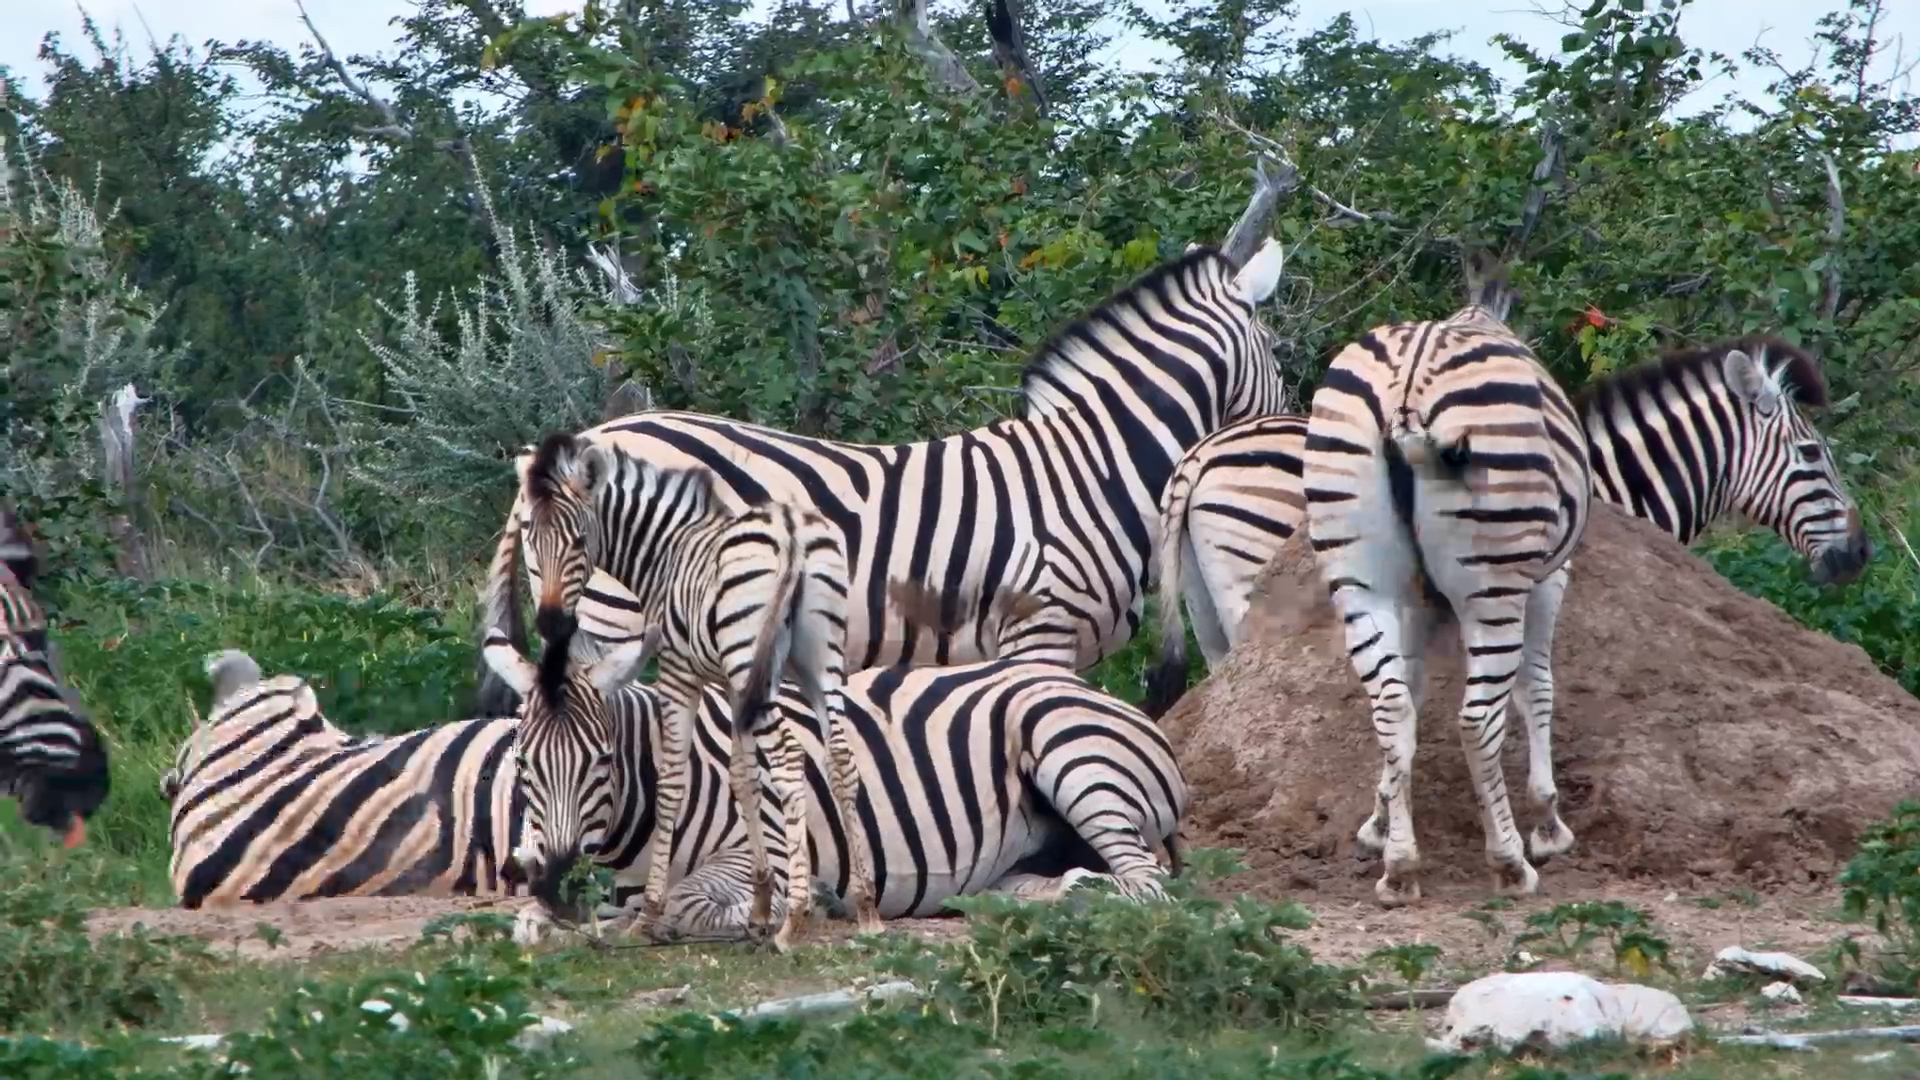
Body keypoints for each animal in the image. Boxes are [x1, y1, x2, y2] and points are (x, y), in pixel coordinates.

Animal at [476, 238, 1290, 714]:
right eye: (1278, 356)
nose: (1282, 432)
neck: (1090, 465)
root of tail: (582, 439)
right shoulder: (1039, 630)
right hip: (611, 617)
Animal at [508, 440, 881, 947]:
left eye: (580, 541)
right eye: (529, 535)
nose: (549, 624)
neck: (665, 553)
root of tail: (788, 528)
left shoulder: (679, 671)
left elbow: (672, 781)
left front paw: (649, 915)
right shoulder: (730, 682)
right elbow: (743, 777)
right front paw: (759, 907)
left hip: (754, 655)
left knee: (788, 758)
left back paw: (795, 919)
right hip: (818, 659)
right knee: (840, 759)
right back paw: (867, 907)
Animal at [1300, 254, 1590, 906]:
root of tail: (1408, 391)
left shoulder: (1418, 602)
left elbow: (1410, 692)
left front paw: (1379, 822)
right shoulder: (1549, 578)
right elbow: (1537, 687)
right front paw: (1548, 824)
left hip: (1361, 582)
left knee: (1389, 706)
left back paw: (1400, 870)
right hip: (1495, 586)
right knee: (1477, 719)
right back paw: (1510, 863)